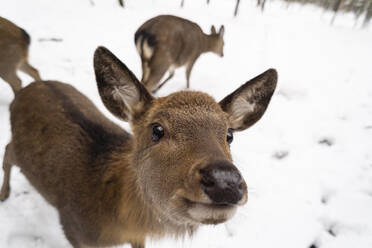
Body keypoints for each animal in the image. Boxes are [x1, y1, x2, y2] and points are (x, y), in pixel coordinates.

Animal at [0, 47, 278, 248]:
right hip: (16, 147)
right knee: (7, 152)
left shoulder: (137, 236)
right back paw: (4, 194)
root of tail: (25, 91)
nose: (225, 181)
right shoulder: (75, 231)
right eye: (157, 129)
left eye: (229, 134)